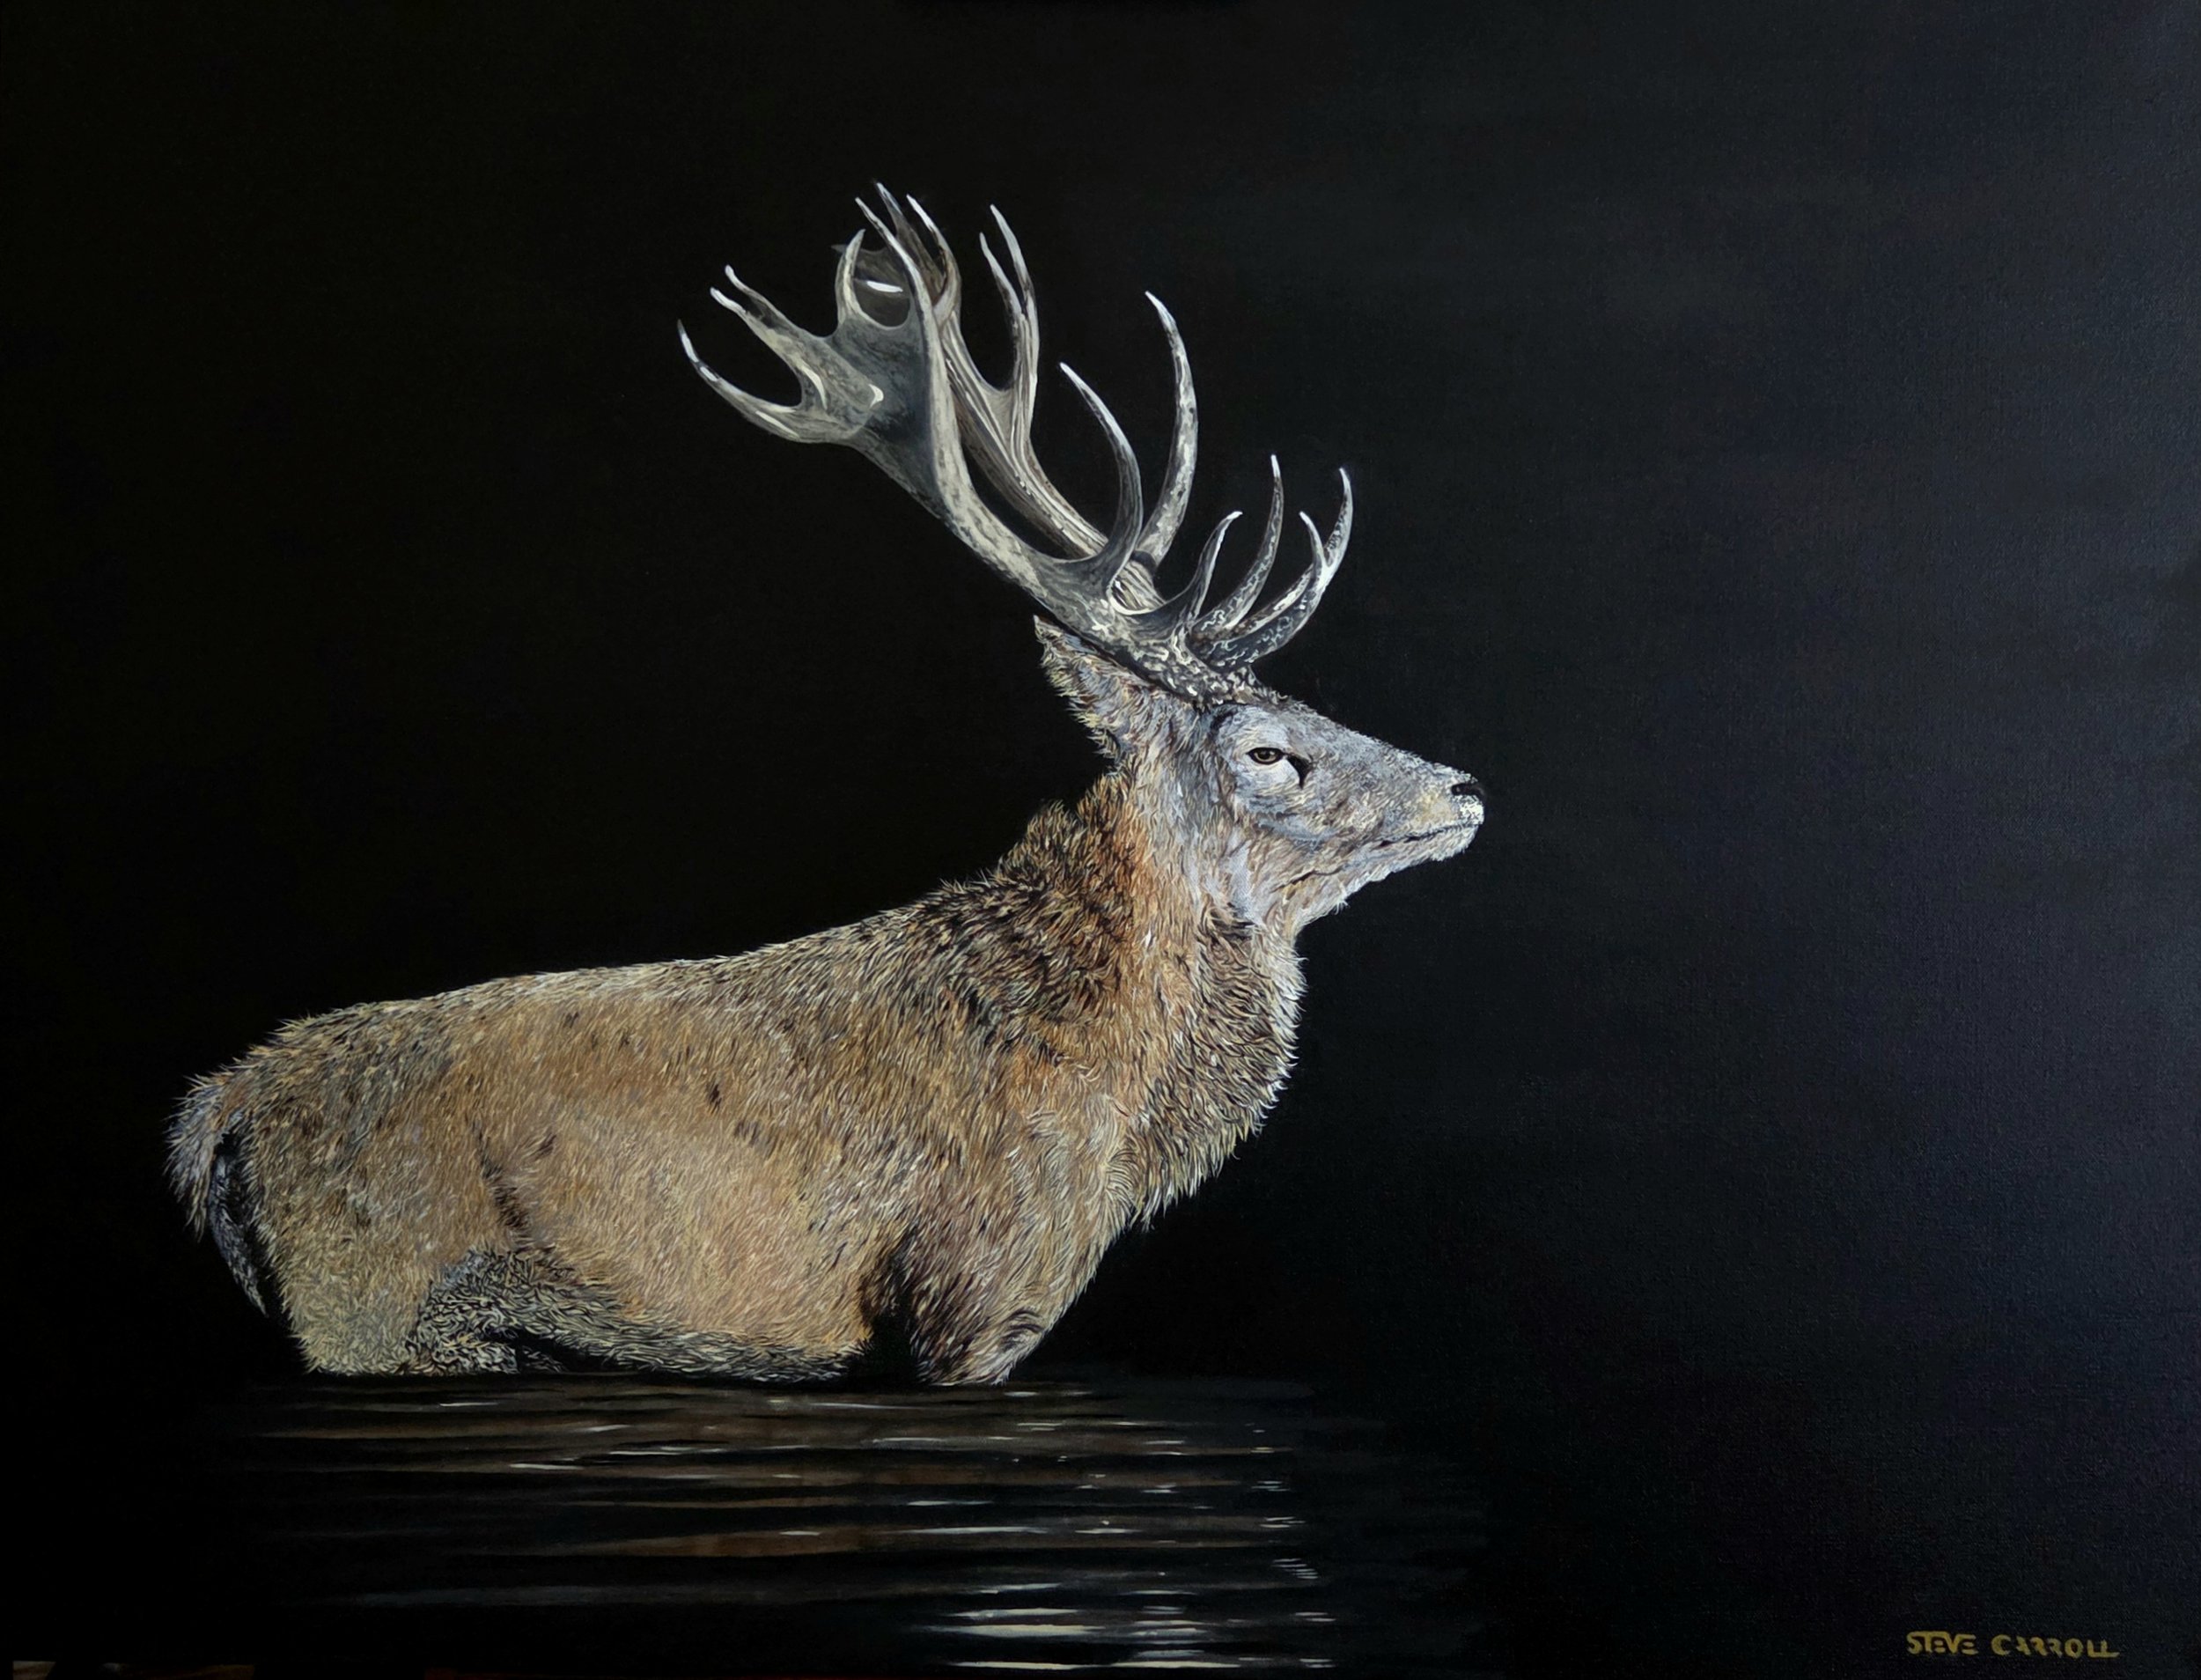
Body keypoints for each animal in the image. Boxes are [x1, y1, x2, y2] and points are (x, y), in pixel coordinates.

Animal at [167, 188, 1485, 1383]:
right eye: (1268, 749)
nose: (1464, 787)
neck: (1113, 1108)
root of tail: (222, 1107)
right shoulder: (975, 1288)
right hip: (366, 1300)